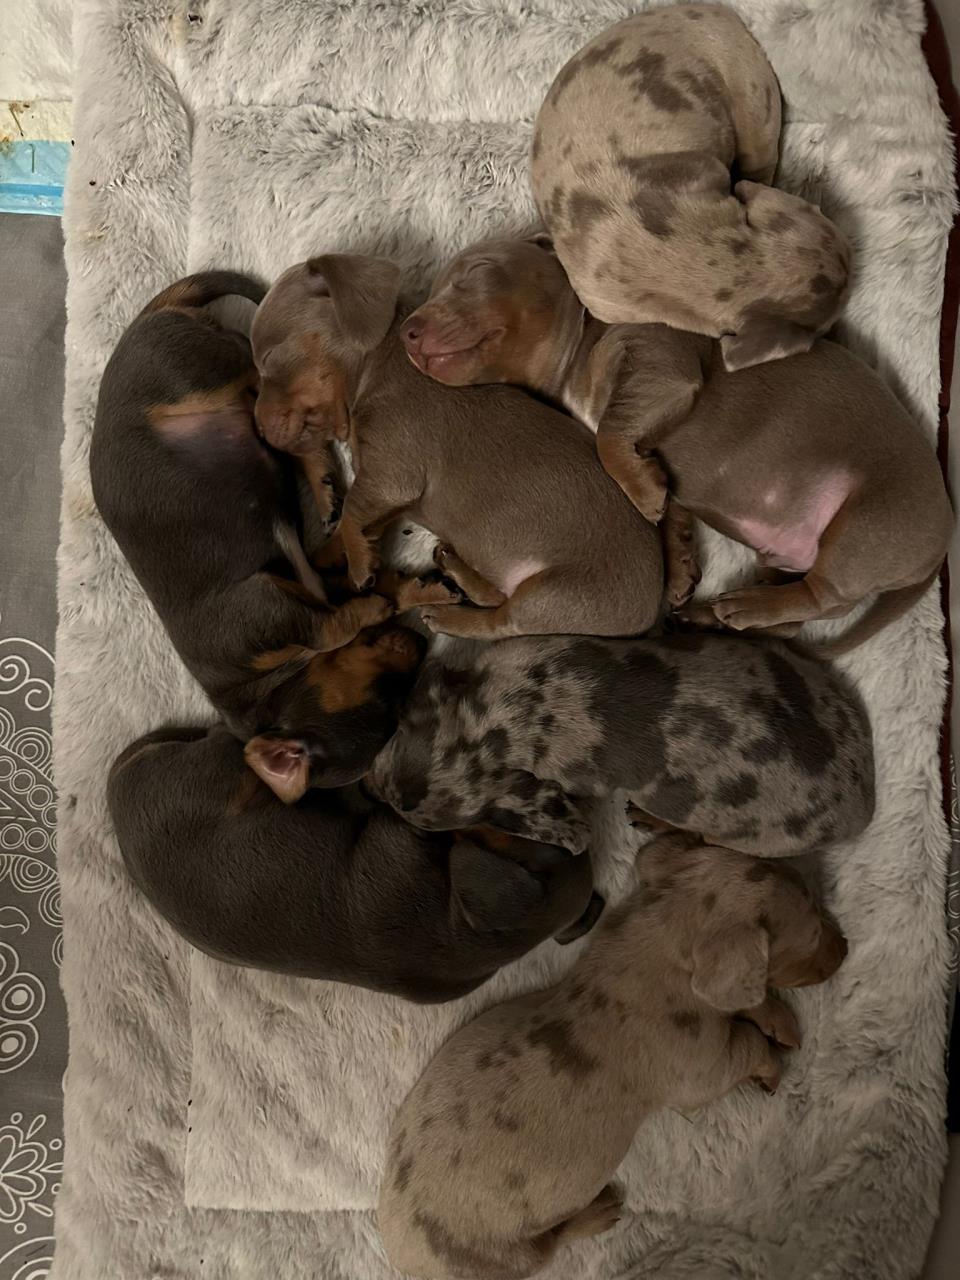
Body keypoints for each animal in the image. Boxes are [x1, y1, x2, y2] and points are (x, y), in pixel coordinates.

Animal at [90, 272, 446, 801]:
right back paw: (325, 484)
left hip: (196, 372)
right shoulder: (273, 607)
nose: (420, 644)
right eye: (387, 705)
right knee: (268, 401)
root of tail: (152, 314)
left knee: (263, 384)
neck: (270, 689)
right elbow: (337, 618)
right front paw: (405, 597)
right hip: (200, 375)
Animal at [249, 253, 664, 641]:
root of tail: (649, 614)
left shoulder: (390, 475)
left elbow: (352, 508)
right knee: (495, 596)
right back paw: (455, 566)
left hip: (554, 595)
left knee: (500, 621)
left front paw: (359, 564)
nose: (258, 428)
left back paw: (448, 616)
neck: (373, 371)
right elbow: (361, 518)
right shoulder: (385, 494)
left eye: (268, 359)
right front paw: (331, 552)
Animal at [378, 831, 846, 1278]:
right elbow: (738, 1052)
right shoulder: (691, 1065)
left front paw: (786, 1026)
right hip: (501, 1255)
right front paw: (773, 1070)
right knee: (550, 1246)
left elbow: (750, 1004)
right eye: (811, 933)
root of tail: (401, 1255)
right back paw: (604, 1211)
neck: (662, 937)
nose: (845, 945)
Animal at [401, 237, 952, 651]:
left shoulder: (661, 363)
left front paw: (644, 498)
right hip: (795, 556)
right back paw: (711, 614)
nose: (408, 328)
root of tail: (941, 546)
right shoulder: (652, 436)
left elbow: (611, 437)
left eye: (479, 269)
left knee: (822, 597)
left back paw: (742, 605)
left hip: (869, 524)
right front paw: (675, 557)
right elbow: (666, 499)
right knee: (796, 617)